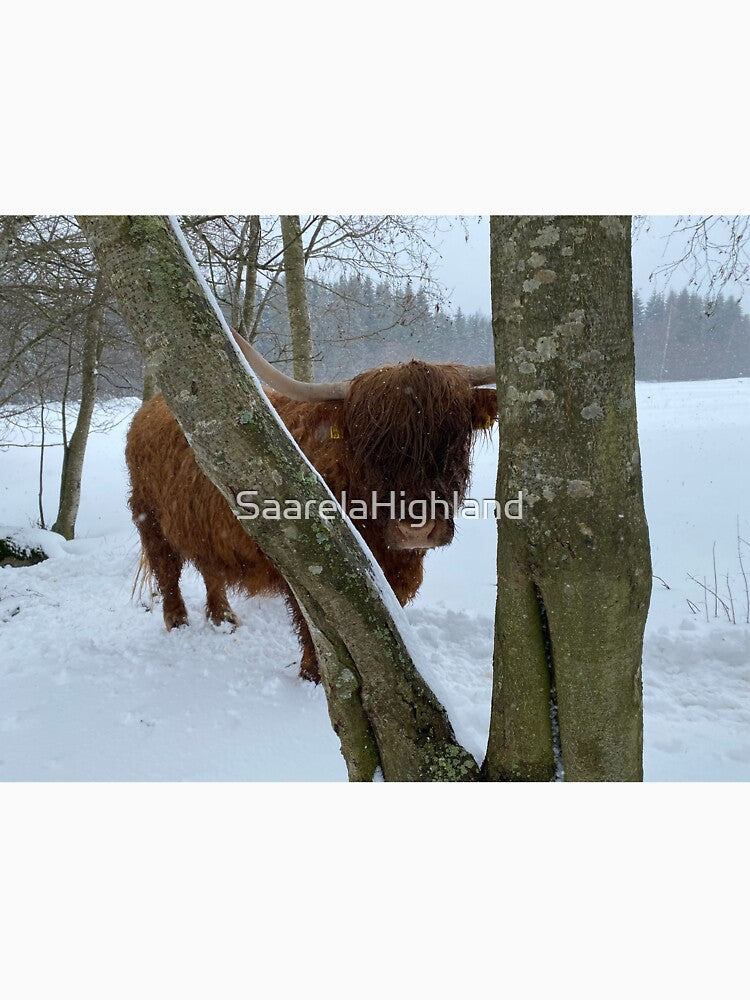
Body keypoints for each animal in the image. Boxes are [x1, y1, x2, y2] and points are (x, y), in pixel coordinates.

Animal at [125, 331, 497, 682]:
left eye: (453, 438)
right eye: (371, 445)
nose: (416, 528)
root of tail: (150, 407)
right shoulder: (309, 564)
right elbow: (318, 628)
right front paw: (313, 677)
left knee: (209, 566)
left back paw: (223, 618)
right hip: (149, 515)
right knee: (167, 568)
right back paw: (178, 621)